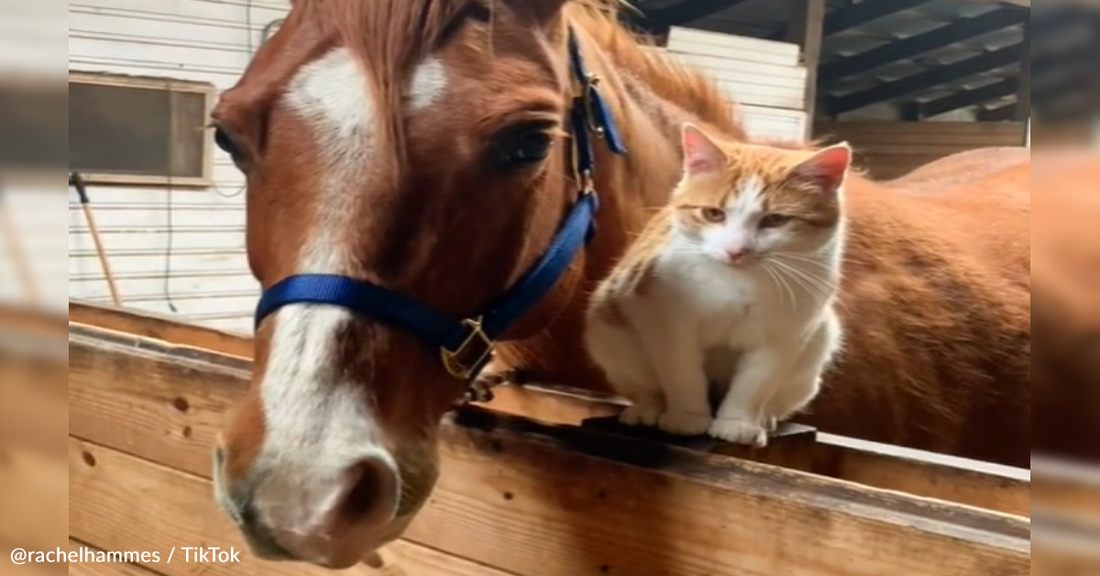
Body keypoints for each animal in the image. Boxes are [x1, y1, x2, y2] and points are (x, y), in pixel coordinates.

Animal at [585, 120, 849, 446]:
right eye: (714, 214)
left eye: (775, 220)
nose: (736, 250)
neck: (738, 281)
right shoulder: (667, 324)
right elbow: (682, 372)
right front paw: (687, 416)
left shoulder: (782, 338)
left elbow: (755, 384)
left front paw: (738, 422)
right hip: (610, 336)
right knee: (643, 385)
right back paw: (648, 409)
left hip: (819, 344)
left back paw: (766, 417)